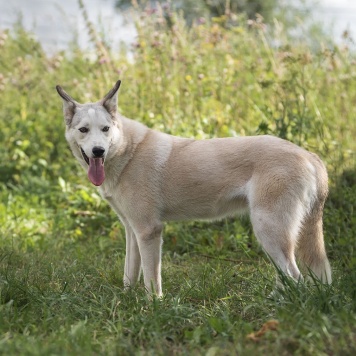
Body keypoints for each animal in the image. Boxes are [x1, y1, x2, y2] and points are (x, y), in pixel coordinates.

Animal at [55, 80, 330, 294]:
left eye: (105, 129)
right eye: (83, 130)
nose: (98, 151)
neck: (127, 151)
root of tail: (307, 155)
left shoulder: (149, 231)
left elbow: (151, 281)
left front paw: (153, 308)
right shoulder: (132, 232)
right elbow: (129, 275)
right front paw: (126, 302)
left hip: (268, 230)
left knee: (295, 277)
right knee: (290, 275)